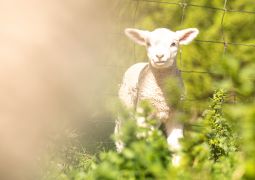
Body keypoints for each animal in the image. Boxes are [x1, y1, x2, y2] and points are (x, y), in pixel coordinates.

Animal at [115, 26, 199, 165]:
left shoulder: (176, 114)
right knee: (120, 130)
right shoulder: (143, 115)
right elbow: (147, 139)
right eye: (148, 44)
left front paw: (176, 166)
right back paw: (120, 156)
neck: (161, 92)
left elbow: (175, 143)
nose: (159, 56)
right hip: (126, 103)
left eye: (173, 43)